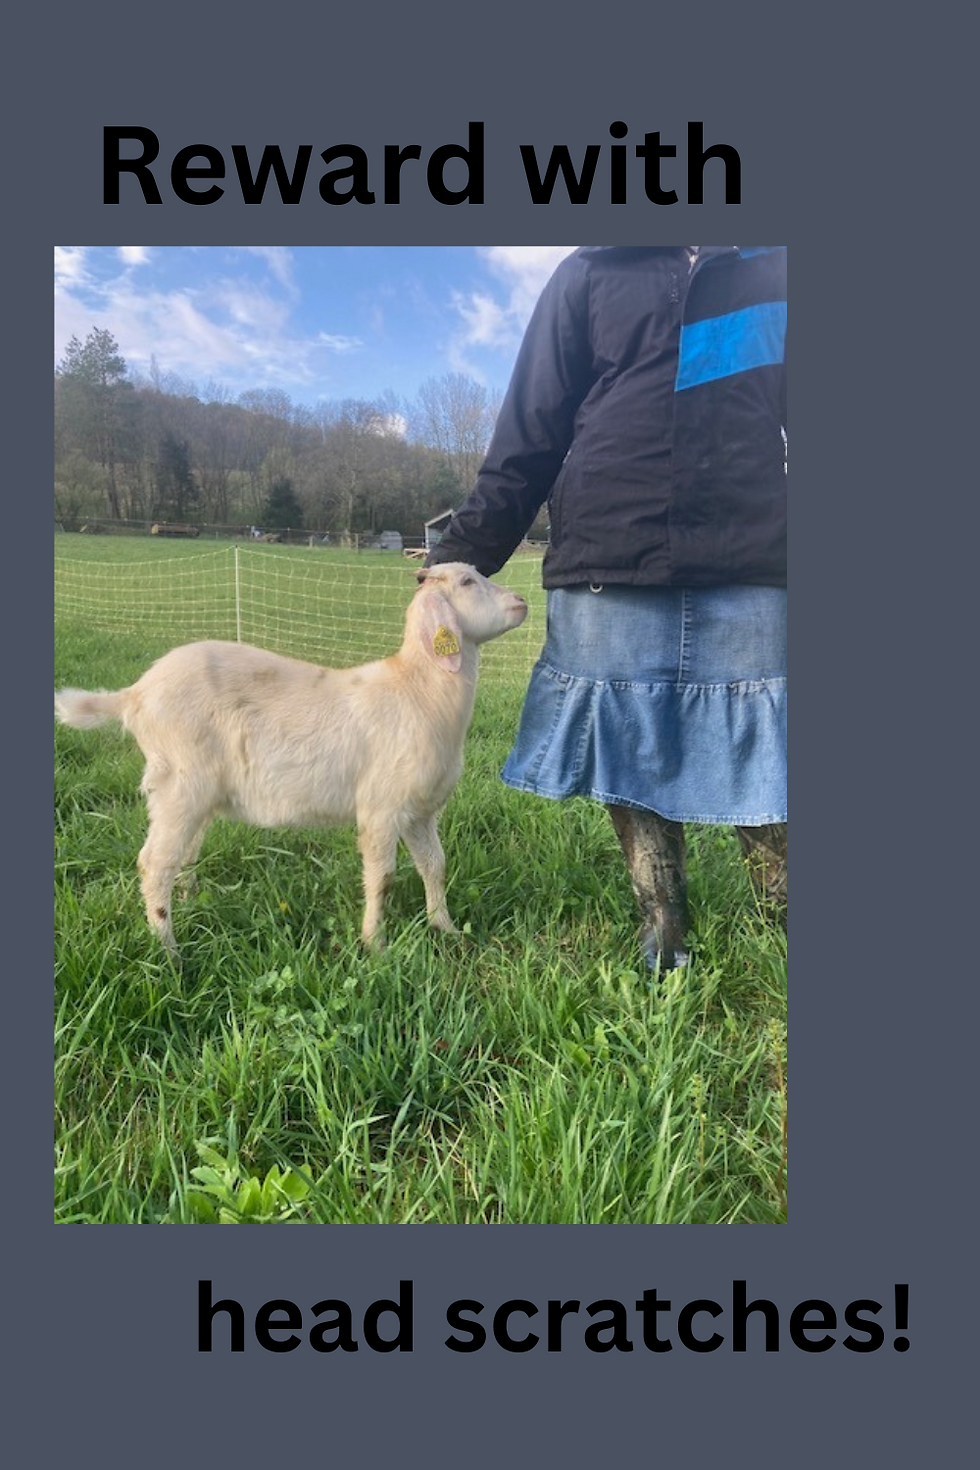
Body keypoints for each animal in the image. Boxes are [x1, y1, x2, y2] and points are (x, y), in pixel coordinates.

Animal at [55, 564, 528, 955]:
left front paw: (444, 927)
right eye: (467, 581)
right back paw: (168, 952)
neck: (417, 688)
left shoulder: (420, 811)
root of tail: (135, 694)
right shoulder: (380, 808)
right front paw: (375, 945)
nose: (521, 602)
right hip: (179, 783)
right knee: (154, 863)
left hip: (193, 795)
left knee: (181, 857)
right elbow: (383, 878)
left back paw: (188, 906)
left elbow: (435, 866)